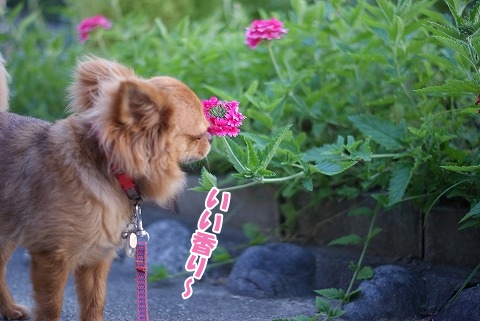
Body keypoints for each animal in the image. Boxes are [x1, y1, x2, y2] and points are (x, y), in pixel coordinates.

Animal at [0, 56, 212, 318]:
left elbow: (95, 300)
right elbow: (51, 306)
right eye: (198, 135)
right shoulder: (52, 257)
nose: (211, 138)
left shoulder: (97, 256)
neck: (108, 172)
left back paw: (9, 308)